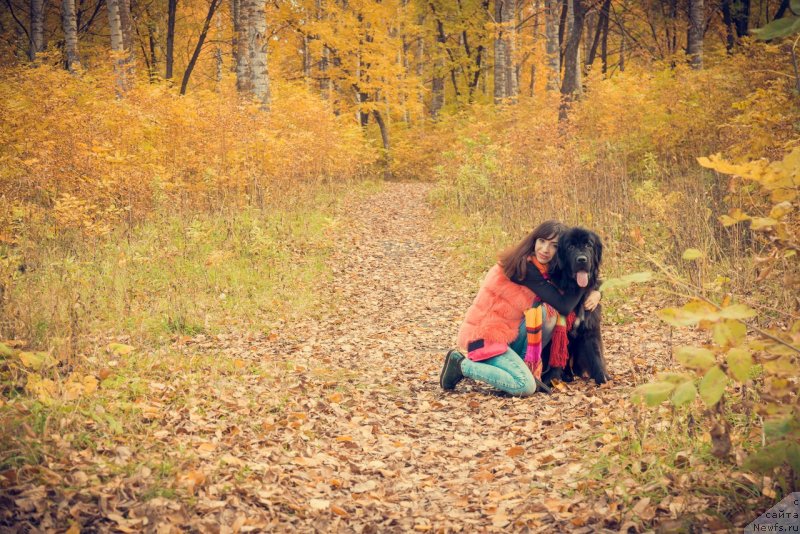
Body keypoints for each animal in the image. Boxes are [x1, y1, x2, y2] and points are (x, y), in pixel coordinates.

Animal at [540, 228, 608, 388]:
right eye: (570, 247)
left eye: (588, 245)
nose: (582, 260)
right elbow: (554, 356)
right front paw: (550, 380)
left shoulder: (590, 327)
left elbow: (596, 354)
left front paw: (602, 378)